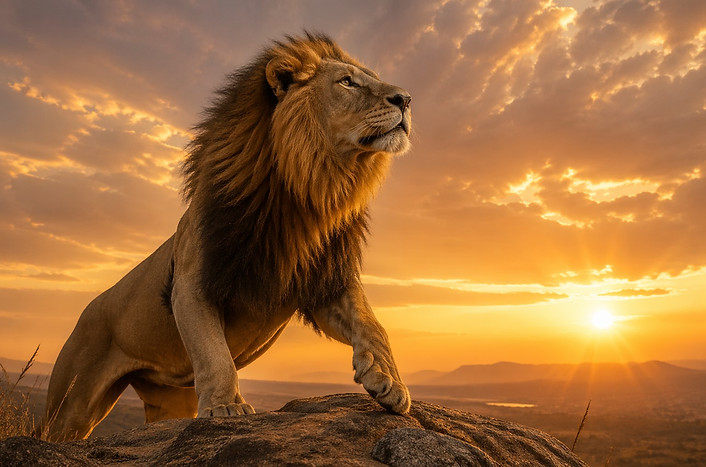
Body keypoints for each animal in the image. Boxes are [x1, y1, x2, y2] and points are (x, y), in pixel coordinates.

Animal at [41, 33, 413, 441]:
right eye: (347, 82)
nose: (406, 99)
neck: (308, 192)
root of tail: (89, 309)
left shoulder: (322, 280)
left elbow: (370, 322)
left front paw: (387, 379)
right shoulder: (192, 283)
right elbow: (214, 352)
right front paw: (225, 407)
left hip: (169, 398)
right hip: (71, 404)